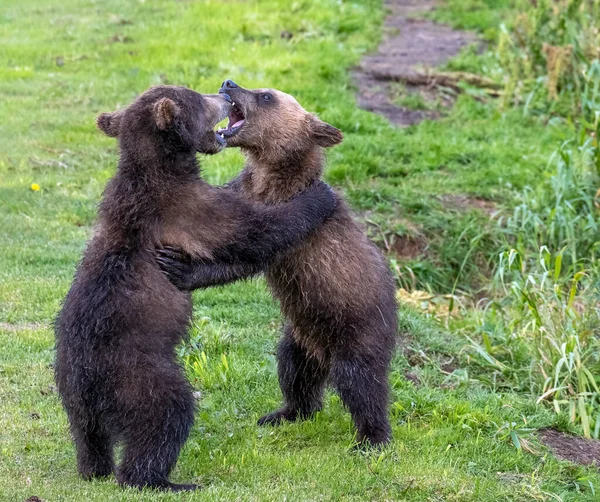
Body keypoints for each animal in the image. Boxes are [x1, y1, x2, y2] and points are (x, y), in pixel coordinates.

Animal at [54, 85, 338, 490]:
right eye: (199, 98)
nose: (224, 90)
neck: (160, 168)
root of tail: (85, 381)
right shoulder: (189, 208)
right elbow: (253, 230)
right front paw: (320, 195)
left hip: (71, 396)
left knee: (88, 439)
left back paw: (95, 468)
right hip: (138, 376)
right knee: (166, 415)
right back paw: (163, 480)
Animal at [159, 82, 398, 448]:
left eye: (267, 96)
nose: (229, 83)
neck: (272, 176)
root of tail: (324, 351)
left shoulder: (294, 231)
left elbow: (251, 251)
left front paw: (180, 267)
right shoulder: (242, 191)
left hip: (357, 328)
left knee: (361, 382)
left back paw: (372, 438)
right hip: (301, 334)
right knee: (294, 370)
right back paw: (284, 413)